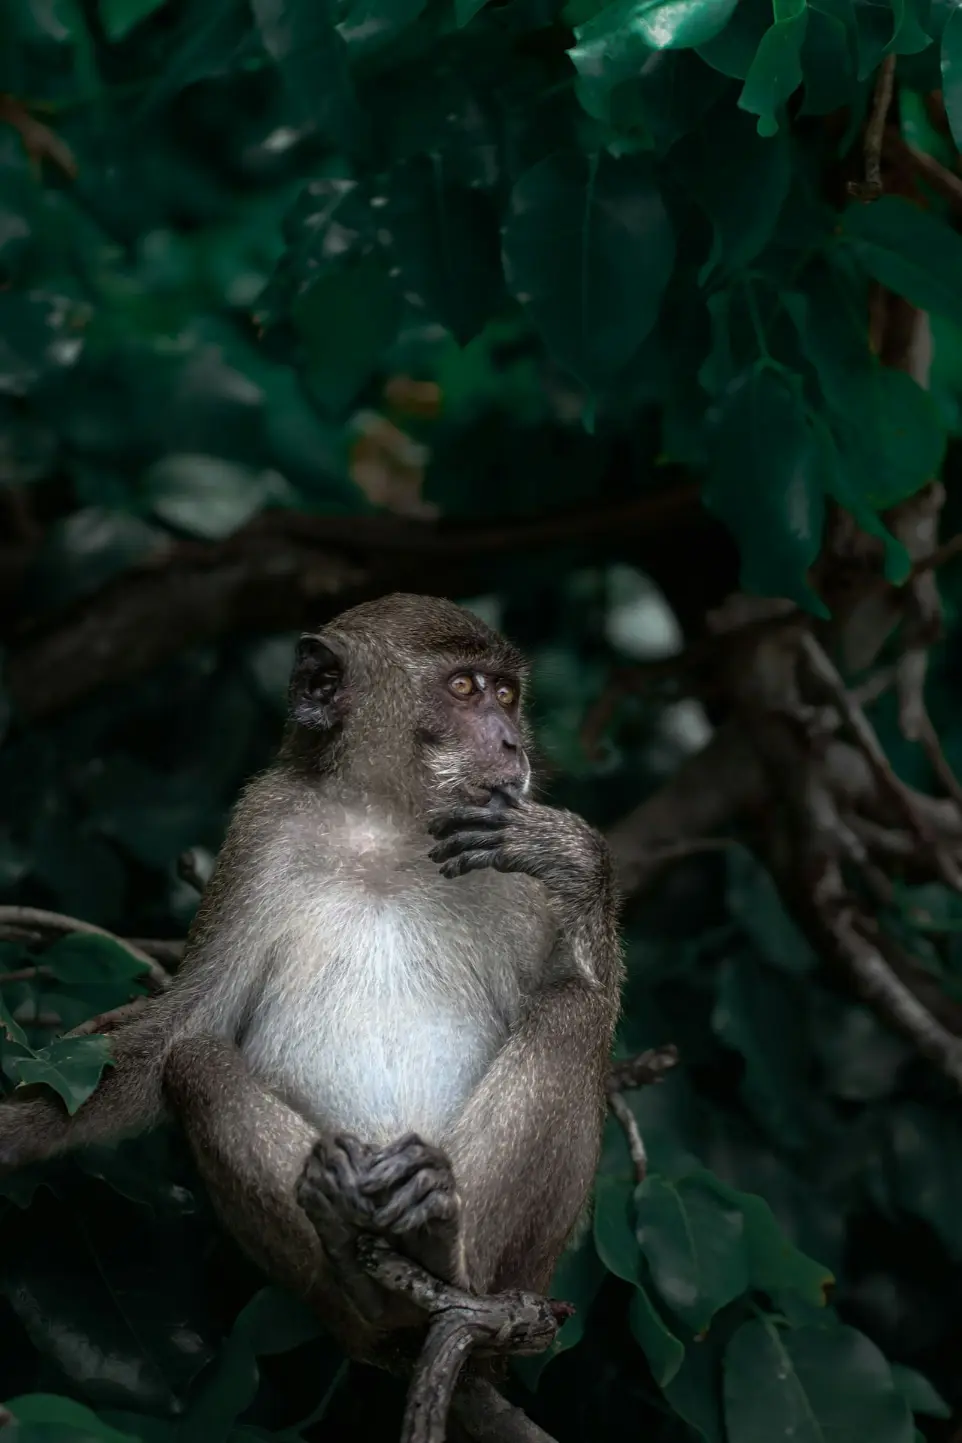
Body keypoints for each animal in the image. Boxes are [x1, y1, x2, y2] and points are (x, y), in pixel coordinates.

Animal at [0, 594, 622, 1369]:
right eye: (463, 689)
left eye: (506, 695)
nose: (513, 745)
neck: (387, 828)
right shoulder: (261, 832)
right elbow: (179, 1029)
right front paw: (13, 1132)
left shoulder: (508, 859)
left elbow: (585, 989)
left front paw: (574, 857)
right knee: (196, 1065)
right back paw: (362, 1274)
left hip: (530, 1273)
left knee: (571, 1013)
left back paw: (446, 1251)